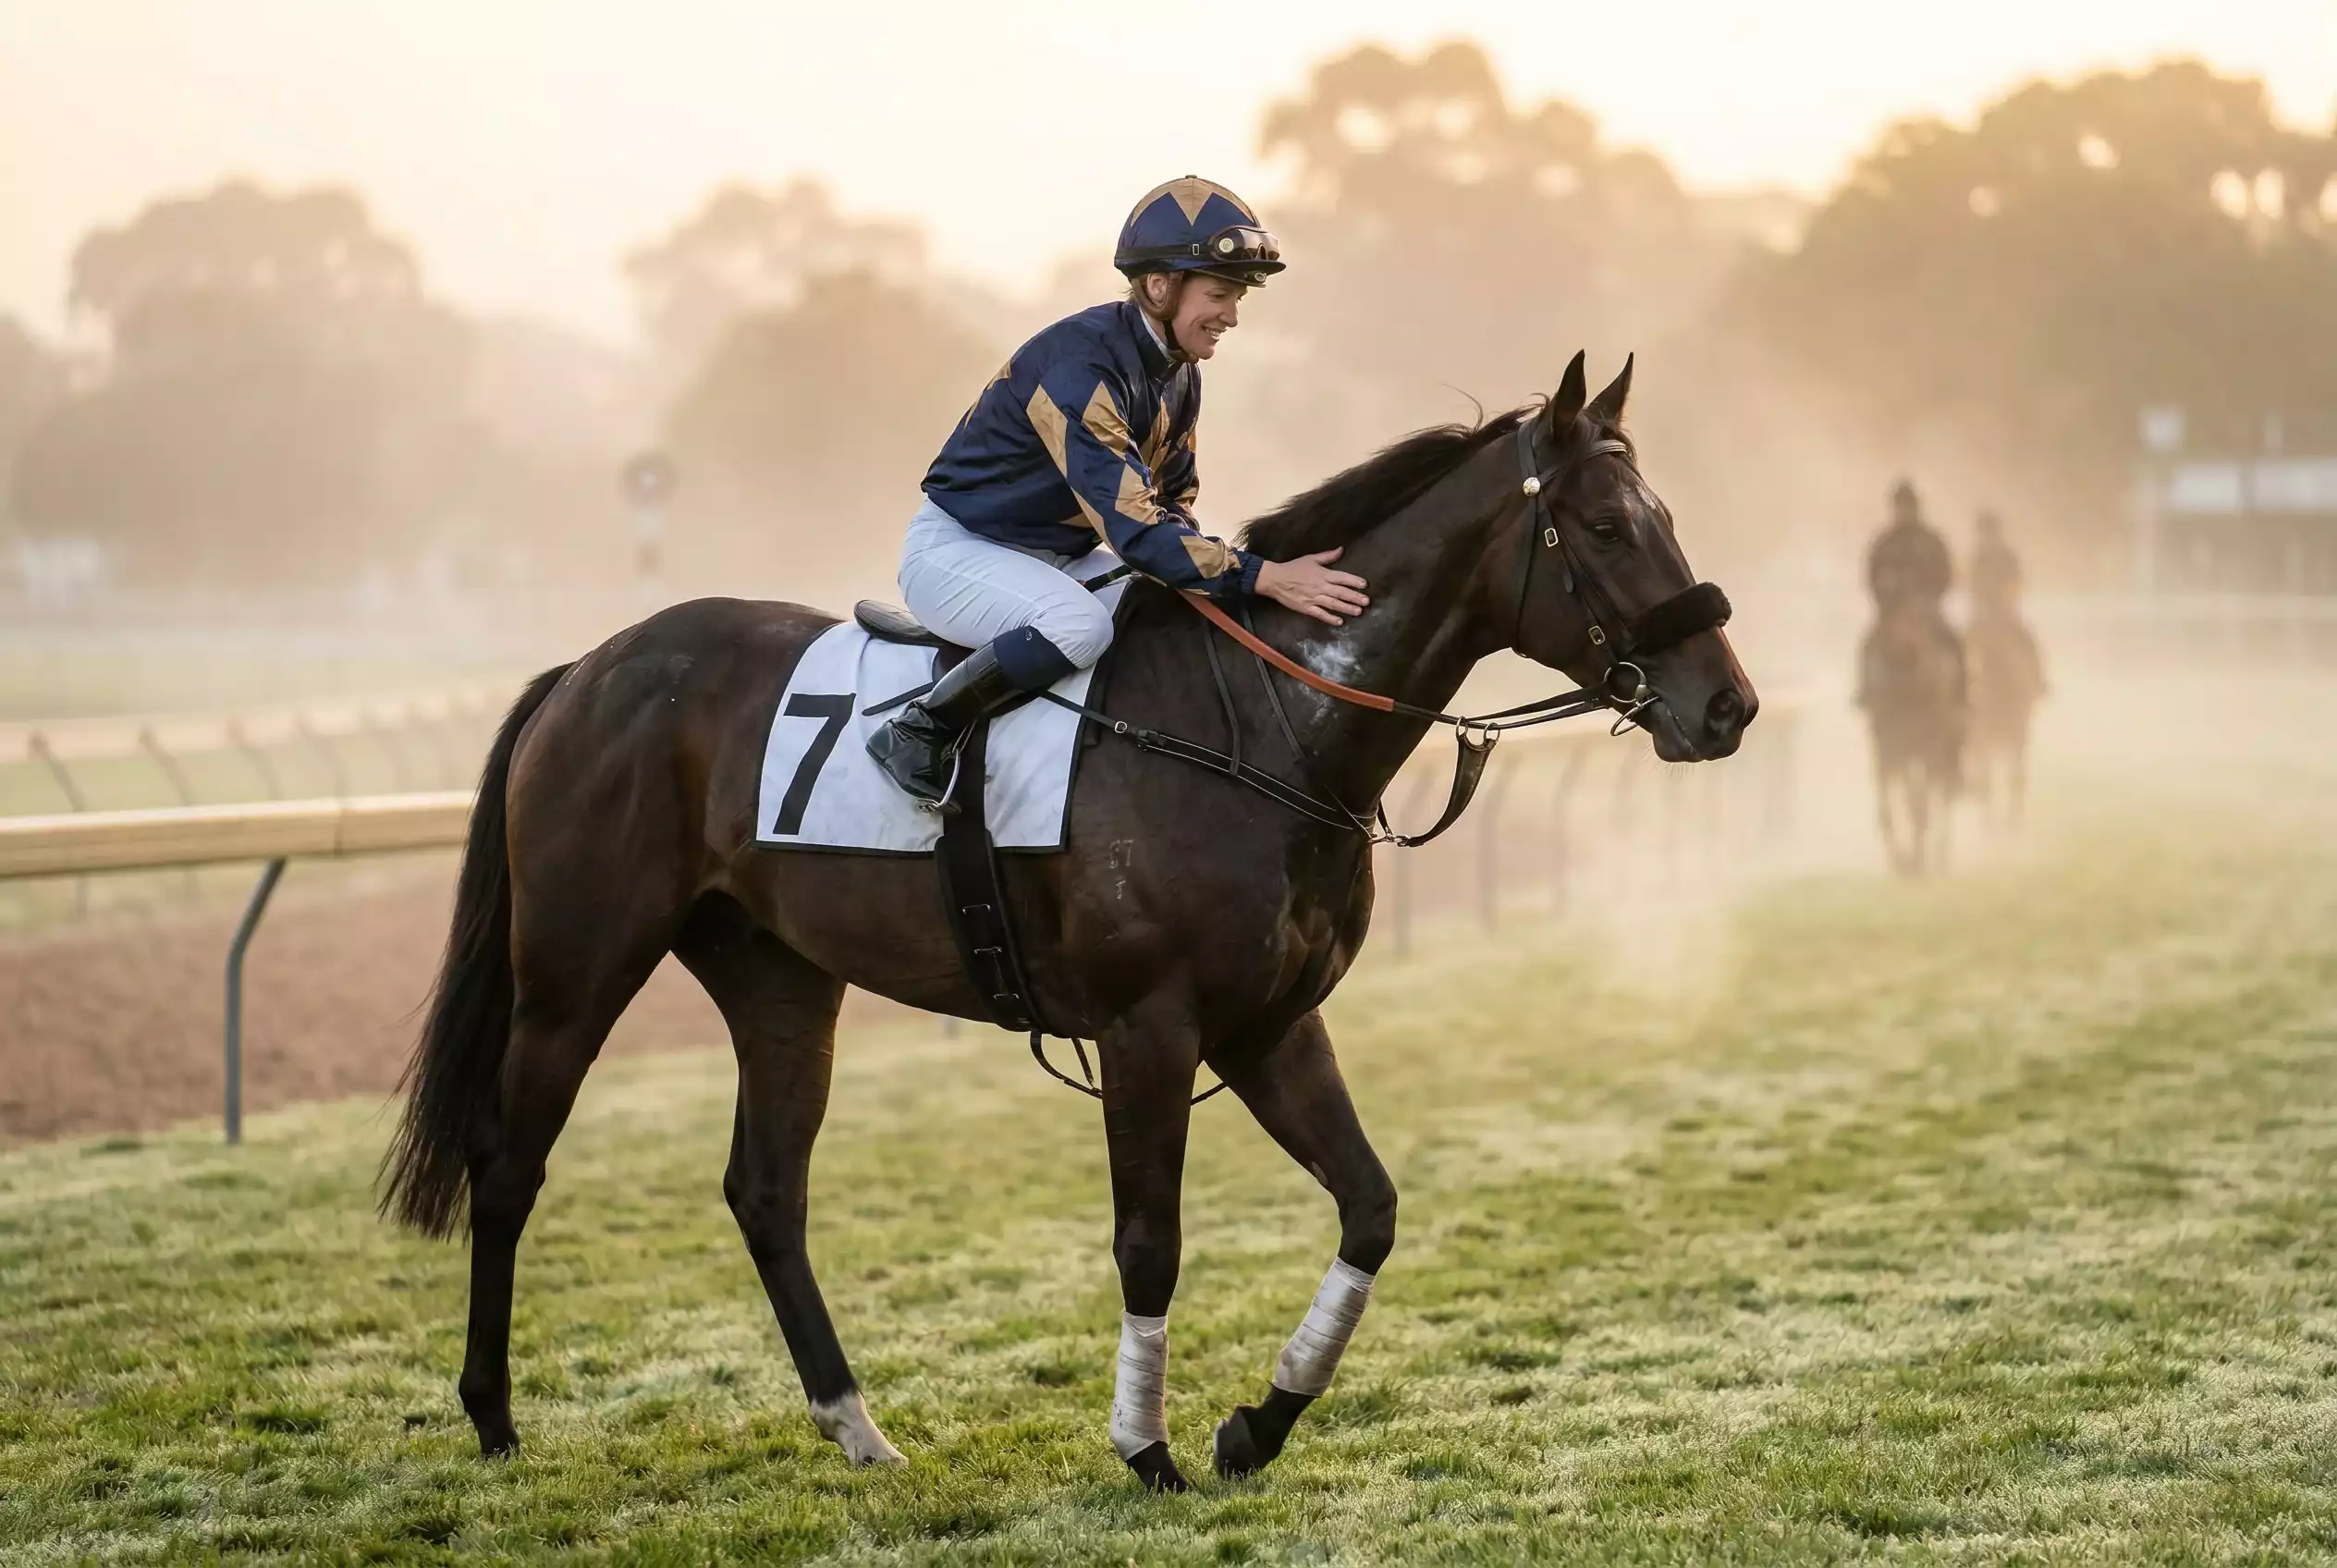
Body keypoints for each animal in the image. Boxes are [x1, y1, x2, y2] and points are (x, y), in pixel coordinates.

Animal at [378, 351, 1757, 1492]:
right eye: (1604, 524)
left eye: (1665, 516)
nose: (1728, 706)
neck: (1266, 728)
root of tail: (588, 669)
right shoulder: (1149, 1028)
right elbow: (1150, 1243)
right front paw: (1147, 1447)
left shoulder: (1268, 1026)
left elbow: (1370, 1206)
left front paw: (1254, 1425)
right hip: (575, 970)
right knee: (508, 1163)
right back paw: (492, 1415)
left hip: (780, 981)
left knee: (767, 1190)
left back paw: (858, 1427)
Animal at [1858, 598, 1966, 877]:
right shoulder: (1889, 746)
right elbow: (1893, 806)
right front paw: (1903, 861)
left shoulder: (1928, 746)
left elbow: (1919, 804)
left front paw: (1915, 862)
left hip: (1941, 751)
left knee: (1942, 794)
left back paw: (1938, 857)